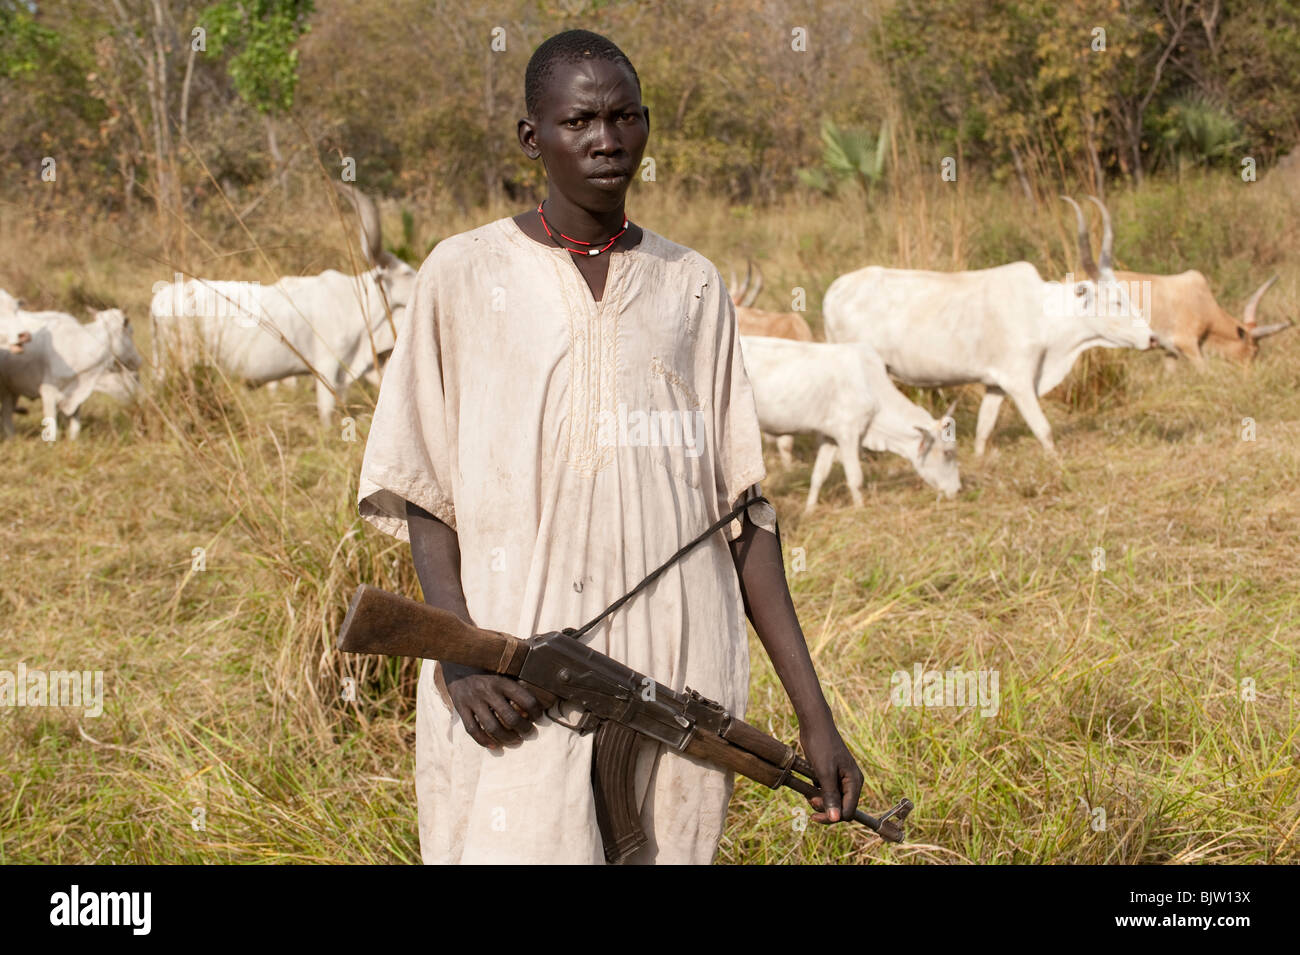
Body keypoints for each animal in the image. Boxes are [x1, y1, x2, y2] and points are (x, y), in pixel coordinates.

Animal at [0, 306, 143, 441]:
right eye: (131, 331)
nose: (139, 361)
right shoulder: (48, 394)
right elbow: (52, 430)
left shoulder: (76, 397)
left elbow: (75, 428)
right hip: (7, 390)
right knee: (6, 415)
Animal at [738, 337, 961, 514]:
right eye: (948, 452)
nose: (957, 490)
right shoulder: (849, 433)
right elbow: (855, 477)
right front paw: (860, 509)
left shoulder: (830, 437)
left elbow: (819, 475)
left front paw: (809, 510)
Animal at [826, 196, 1154, 457]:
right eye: (1115, 301)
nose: (1150, 338)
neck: (1040, 311)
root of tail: (835, 290)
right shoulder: (1019, 382)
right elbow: (1044, 429)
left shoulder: (995, 384)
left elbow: (984, 429)